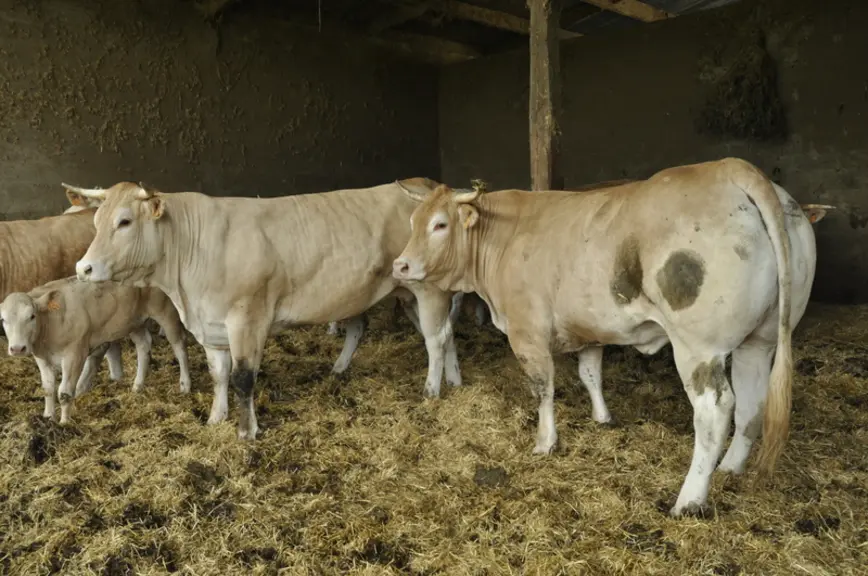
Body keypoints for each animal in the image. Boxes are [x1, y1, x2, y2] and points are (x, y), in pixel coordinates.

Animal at [1, 276, 191, 423]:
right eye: (3, 320)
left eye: (32, 316)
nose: (17, 348)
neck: (51, 323)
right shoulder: (42, 358)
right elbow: (48, 389)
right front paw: (48, 418)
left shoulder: (75, 354)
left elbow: (64, 393)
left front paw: (64, 423)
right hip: (133, 321)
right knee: (144, 345)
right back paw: (138, 385)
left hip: (166, 311)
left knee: (179, 345)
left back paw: (185, 384)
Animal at [71, 179, 463, 441]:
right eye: (96, 222)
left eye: (124, 221)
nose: (84, 268)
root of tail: (428, 186)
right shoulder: (212, 326)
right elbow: (219, 375)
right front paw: (216, 418)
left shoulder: (247, 319)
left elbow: (243, 377)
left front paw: (248, 431)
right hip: (405, 293)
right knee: (438, 335)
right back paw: (452, 379)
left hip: (428, 288)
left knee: (435, 338)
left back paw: (432, 389)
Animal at [391, 157, 819, 517]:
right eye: (411, 222)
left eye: (440, 224)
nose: (401, 265)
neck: (504, 237)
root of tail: (731, 167)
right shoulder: (590, 329)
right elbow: (590, 375)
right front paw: (602, 418)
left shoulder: (528, 333)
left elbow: (543, 389)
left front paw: (545, 442)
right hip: (759, 341)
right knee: (751, 403)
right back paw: (730, 467)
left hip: (699, 347)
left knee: (715, 410)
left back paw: (689, 499)